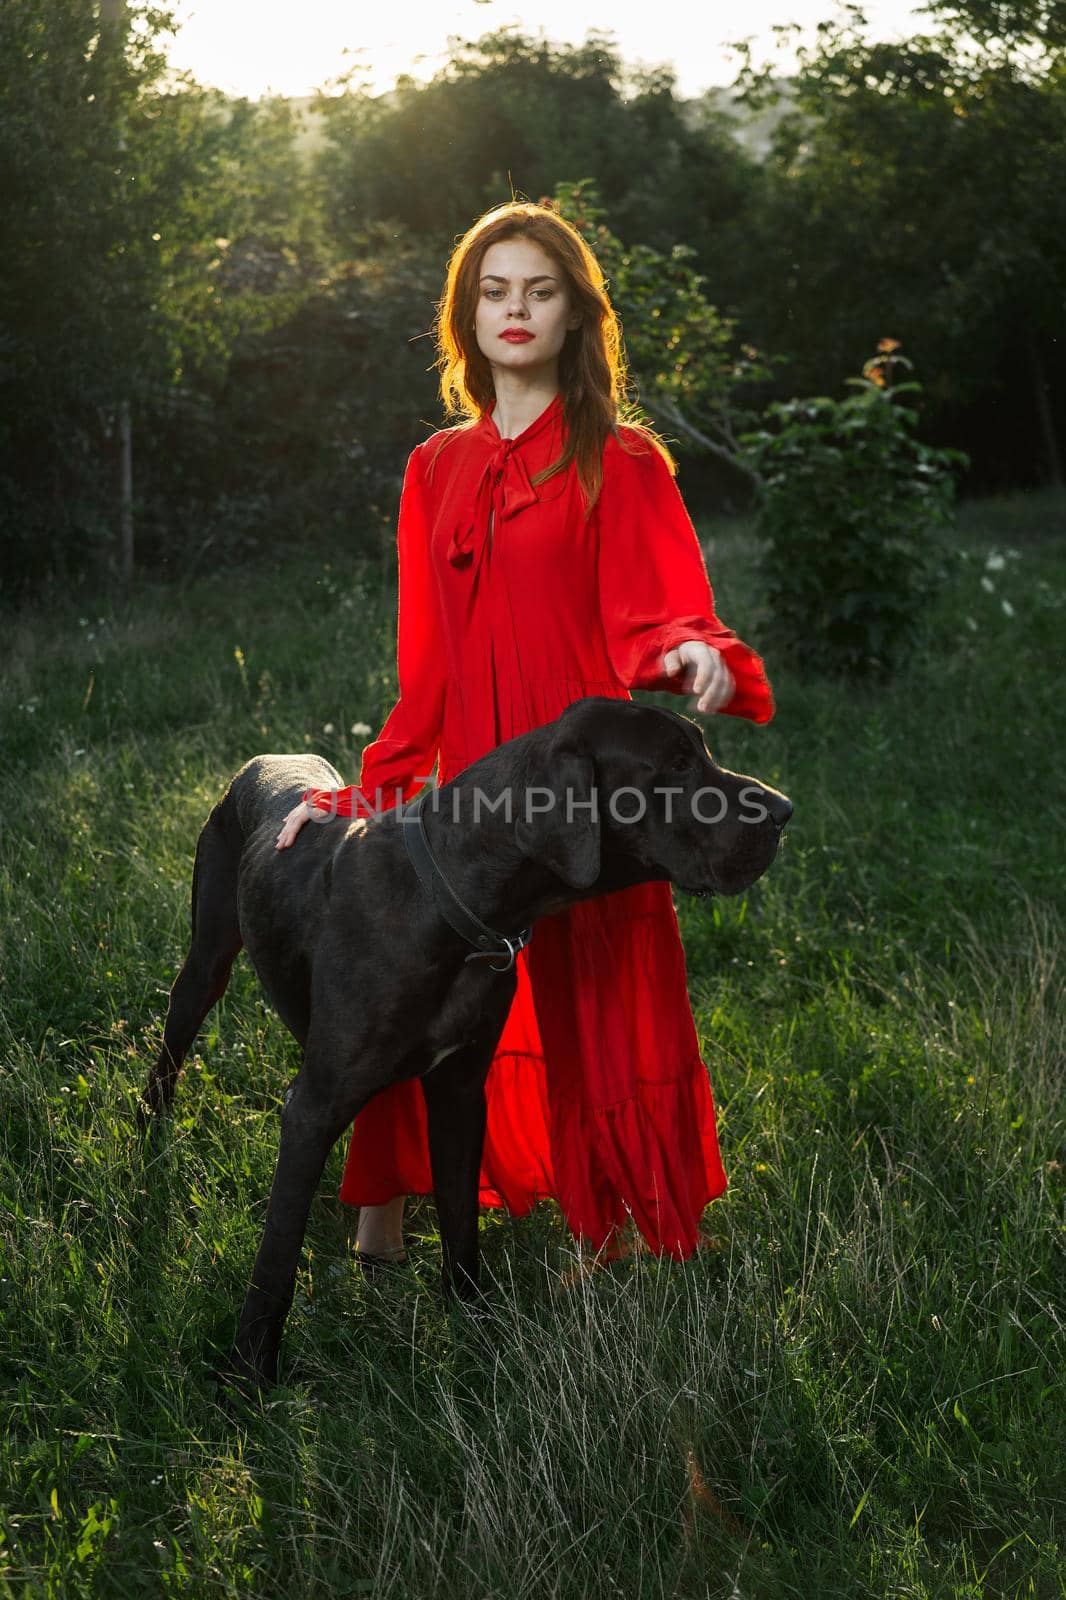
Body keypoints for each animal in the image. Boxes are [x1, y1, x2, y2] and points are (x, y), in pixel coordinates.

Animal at [140, 700, 787, 1388]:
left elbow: (460, 1219)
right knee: (172, 1048)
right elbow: (277, 1255)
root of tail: (268, 759)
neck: (455, 898)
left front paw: (475, 1326)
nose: (785, 811)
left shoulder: (459, 1091)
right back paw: (149, 1142)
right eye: (679, 764)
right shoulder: (314, 1108)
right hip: (206, 963)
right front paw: (250, 1370)